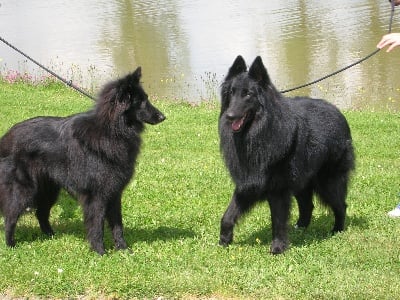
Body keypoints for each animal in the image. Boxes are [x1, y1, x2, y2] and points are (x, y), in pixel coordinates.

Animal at [0, 67, 166, 254]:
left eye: (146, 98)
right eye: (142, 101)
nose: (162, 116)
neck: (112, 130)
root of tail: (6, 137)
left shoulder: (114, 193)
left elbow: (118, 225)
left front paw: (123, 249)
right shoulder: (96, 196)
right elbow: (97, 225)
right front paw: (100, 251)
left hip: (49, 190)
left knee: (41, 213)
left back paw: (51, 235)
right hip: (24, 190)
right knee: (10, 216)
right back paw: (10, 244)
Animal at [219, 55, 354, 253]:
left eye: (248, 94)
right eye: (231, 93)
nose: (229, 116)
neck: (257, 133)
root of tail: (339, 113)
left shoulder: (278, 190)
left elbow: (278, 220)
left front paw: (278, 247)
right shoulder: (247, 184)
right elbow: (228, 215)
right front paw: (224, 239)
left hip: (327, 182)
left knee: (340, 205)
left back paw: (337, 230)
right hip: (302, 182)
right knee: (307, 205)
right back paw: (301, 227)